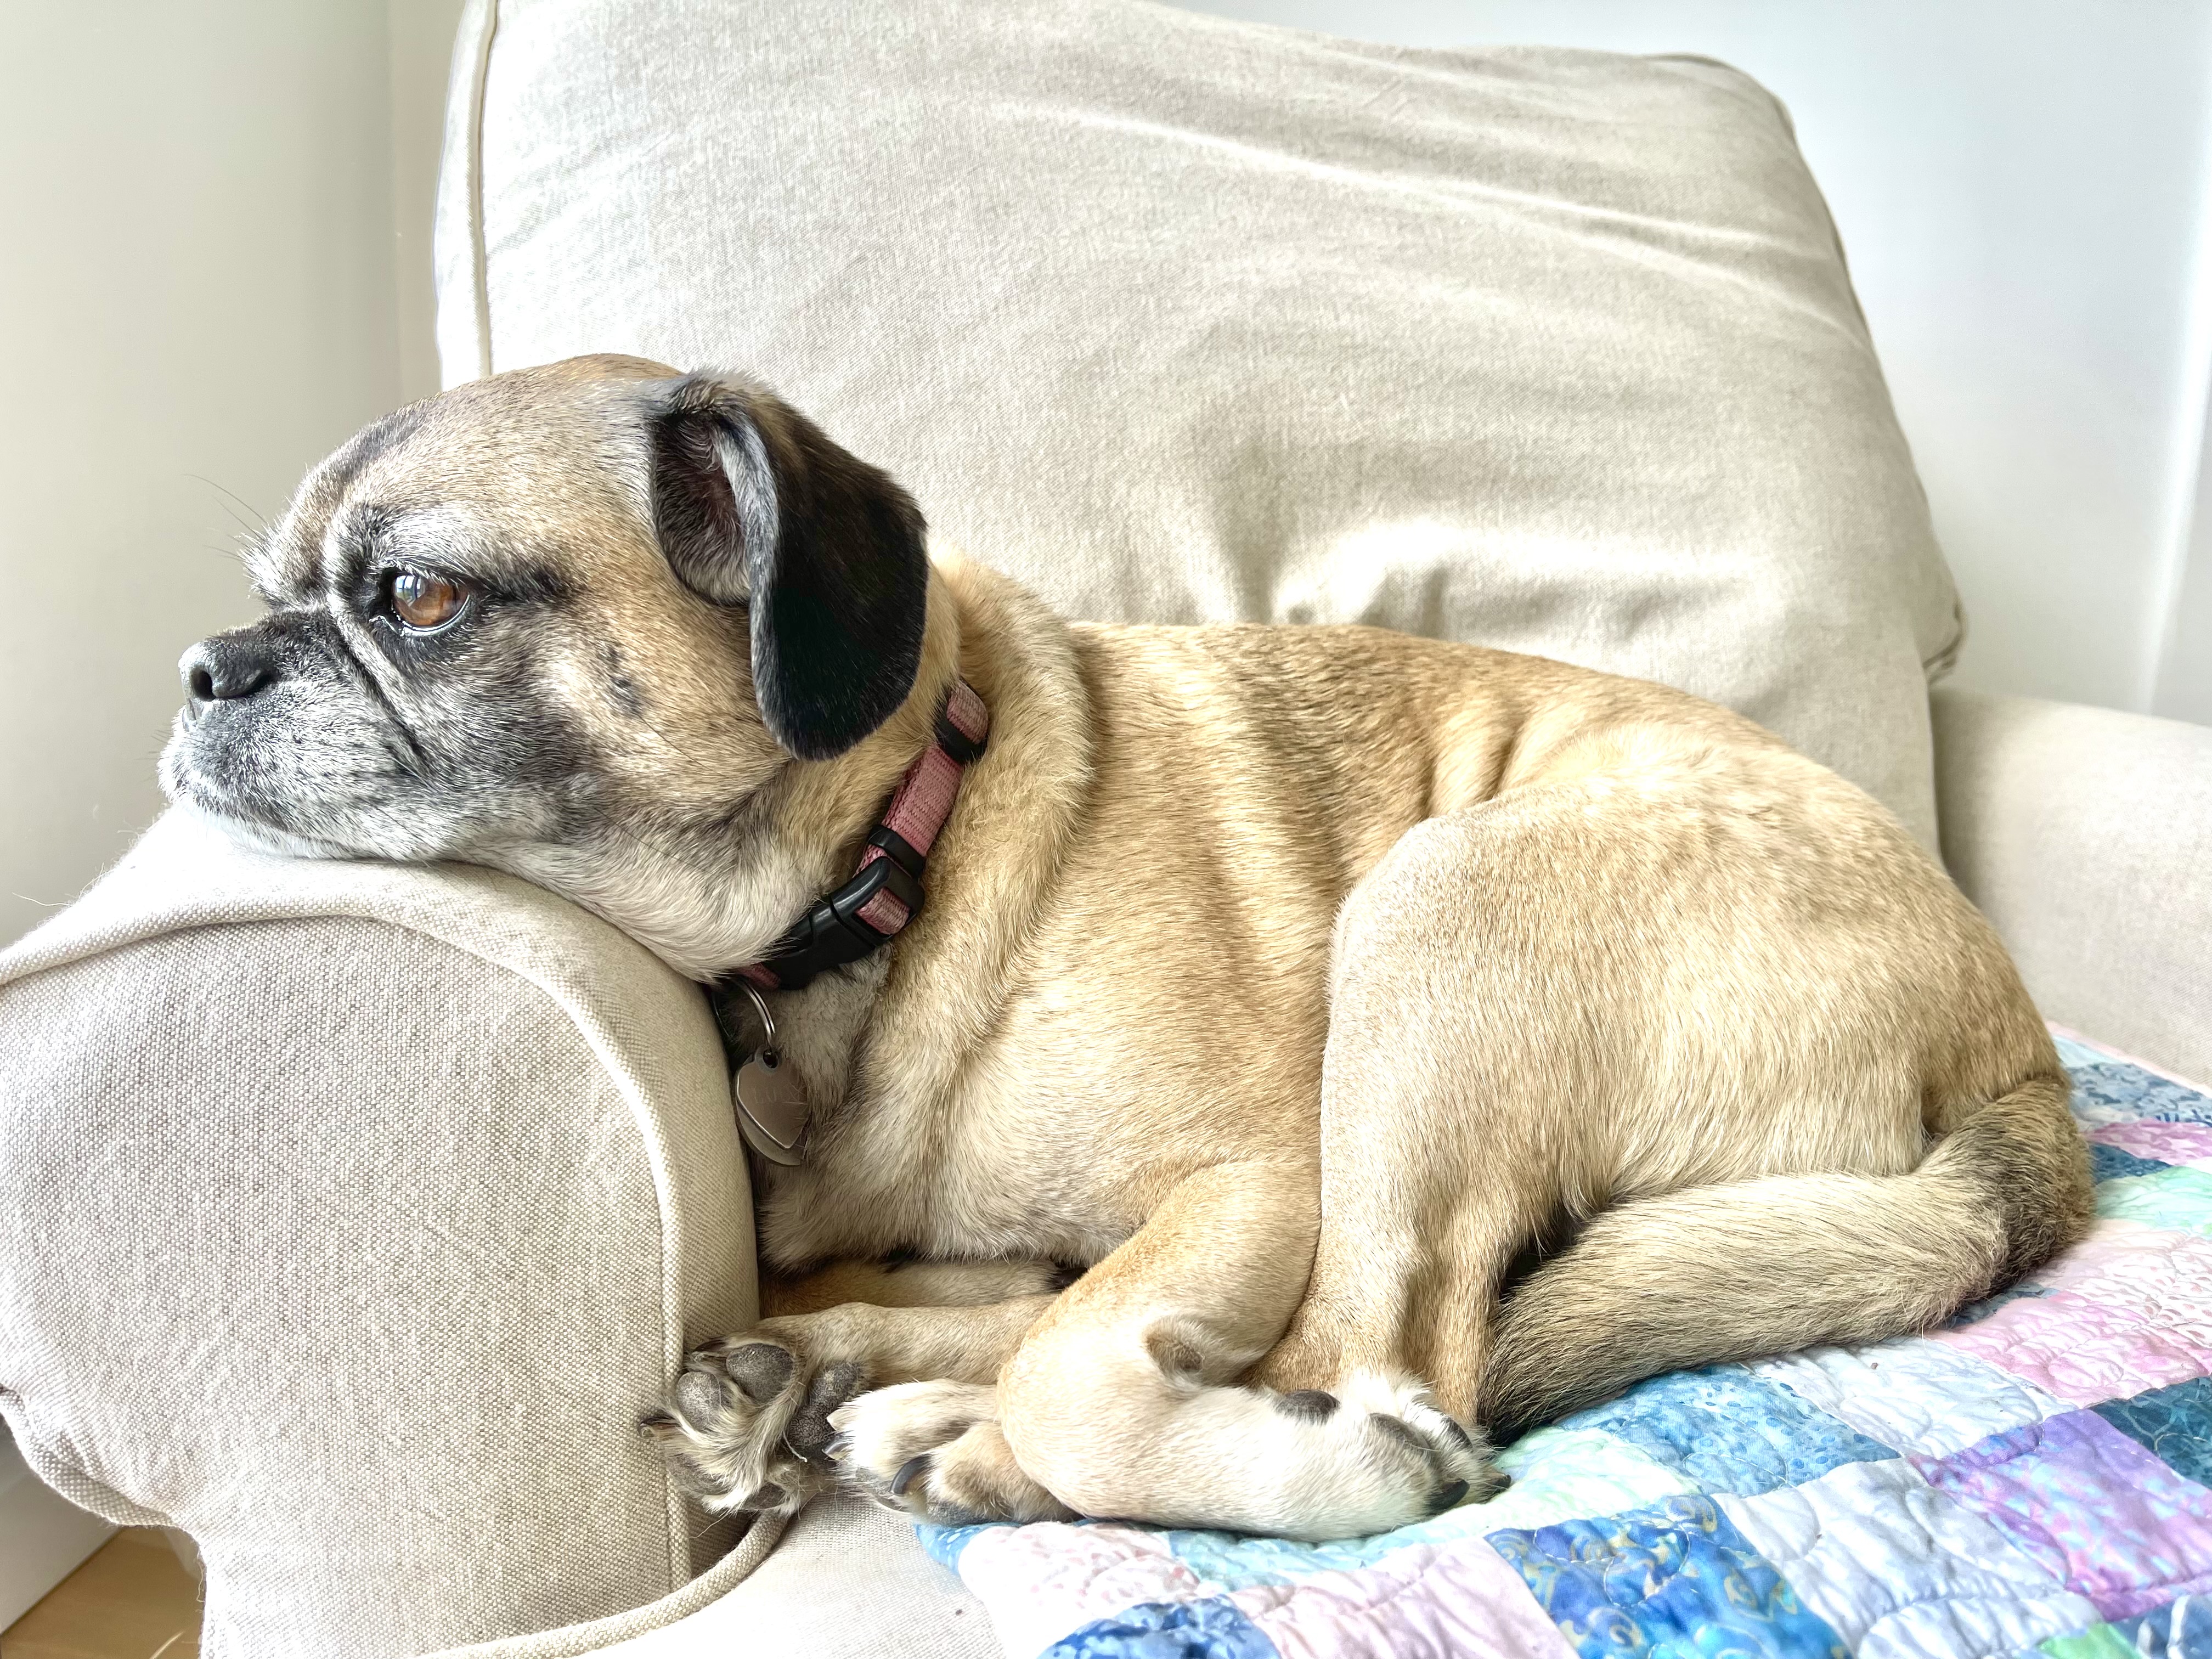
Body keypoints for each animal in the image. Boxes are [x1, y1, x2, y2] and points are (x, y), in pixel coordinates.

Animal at [160, 353, 2092, 1542]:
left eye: (419, 601)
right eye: (270, 592)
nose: (203, 668)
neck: (893, 851)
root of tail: (2024, 1064)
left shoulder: (1255, 1180)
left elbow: (1104, 1365)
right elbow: (1043, 1308)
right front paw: (852, 1358)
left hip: (1438, 911)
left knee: (1385, 1352)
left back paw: (1000, 1444)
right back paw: (839, 1386)